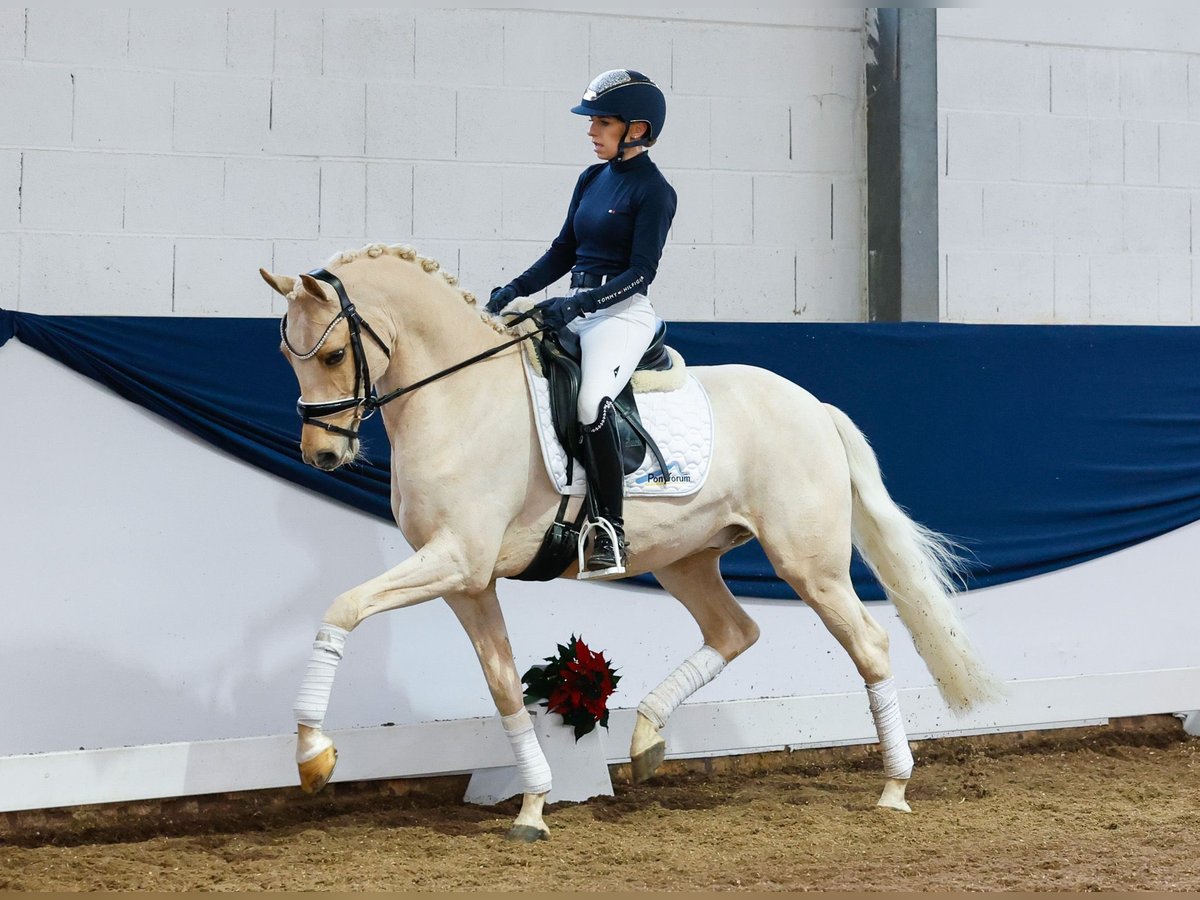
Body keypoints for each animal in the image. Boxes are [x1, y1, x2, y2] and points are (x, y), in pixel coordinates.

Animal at [262, 243, 1003, 844]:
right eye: (286, 356)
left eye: (333, 354)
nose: (323, 455)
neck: (458, 397)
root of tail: (813, 407)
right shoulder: (469, 581)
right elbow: (502, 686)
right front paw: (533, 806)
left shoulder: (454, 560)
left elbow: (342, 607)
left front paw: (313, 756)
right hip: (684, 560)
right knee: (733, 632)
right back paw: (647, 737)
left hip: (808, 564)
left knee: (869, 644)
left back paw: (894, 789)